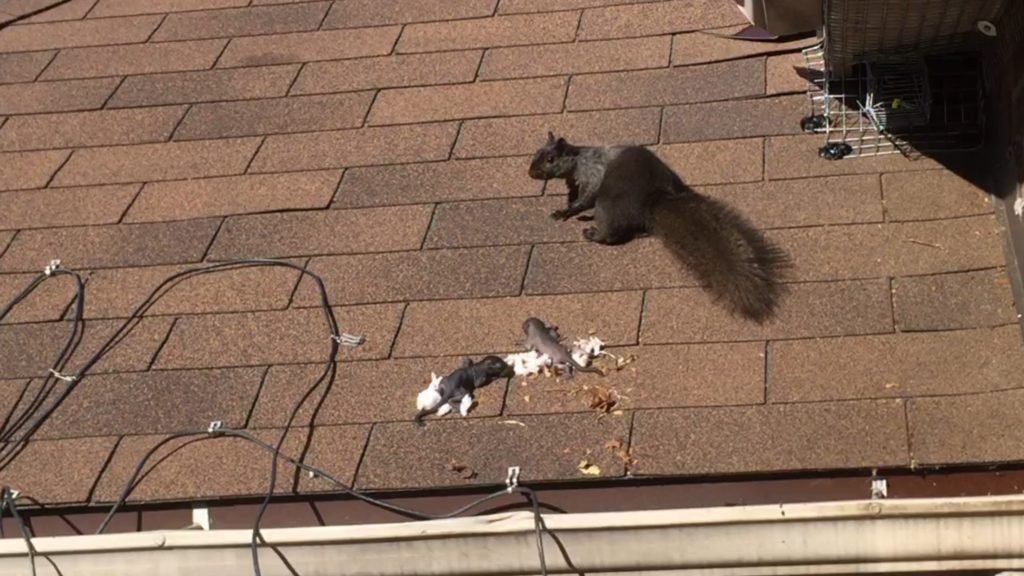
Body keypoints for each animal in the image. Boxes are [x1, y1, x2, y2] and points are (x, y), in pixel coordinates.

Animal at [528, 132, 793, 324]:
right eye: (536, 153)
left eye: (550, 159)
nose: (531, 173)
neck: (578, 160)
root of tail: (653, 198)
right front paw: (565, 209)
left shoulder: (592, 175)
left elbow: (585, 198)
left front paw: (567, 213)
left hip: (609, 203)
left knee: (611, 230)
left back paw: (594, 233)